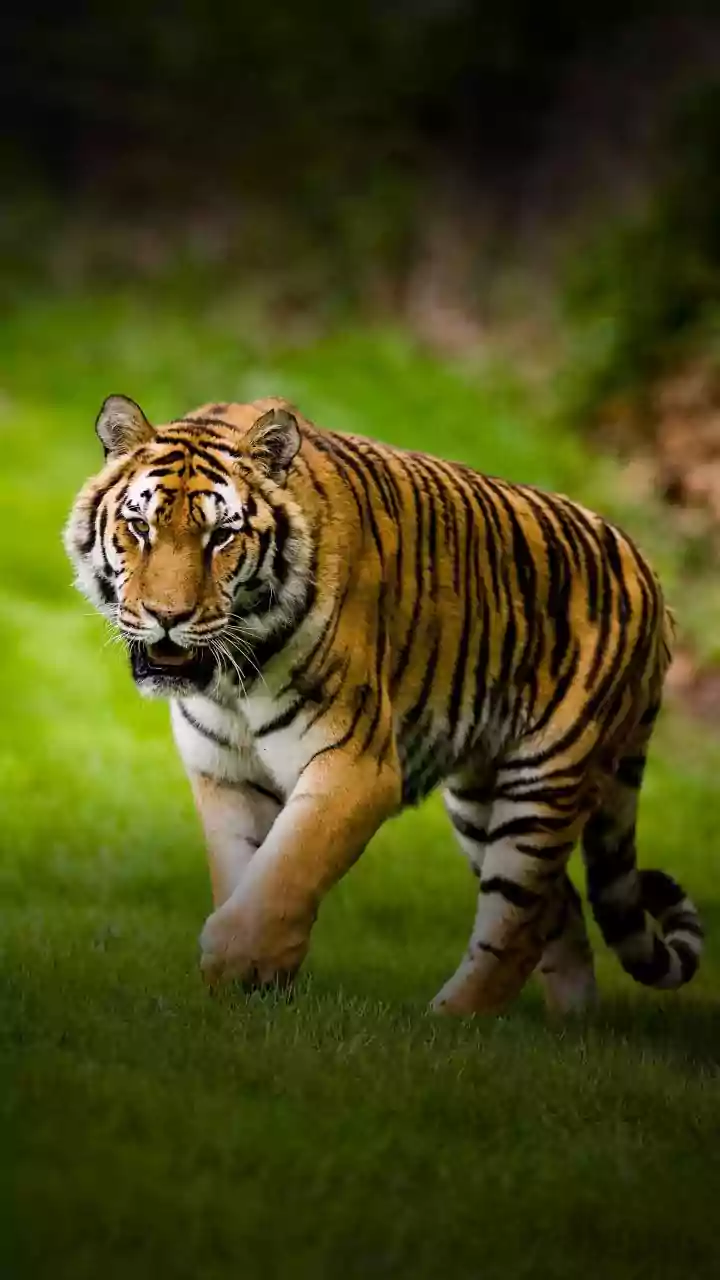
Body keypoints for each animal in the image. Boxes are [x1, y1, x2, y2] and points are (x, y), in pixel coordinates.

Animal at [64, 392, 703, 1016]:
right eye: (139, 526)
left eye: (220, 536)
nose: (167, 617)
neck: (230, 682)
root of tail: (652, 578)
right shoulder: (224, 770)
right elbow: (245, 871)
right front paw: (245, 991)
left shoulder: (355, 766)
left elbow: (288, 869)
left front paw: (239, 963)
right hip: (480, 796)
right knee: (555, 910)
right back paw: (564, 1028)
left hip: (545, 783)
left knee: (519, 923)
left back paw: (445, 1024)